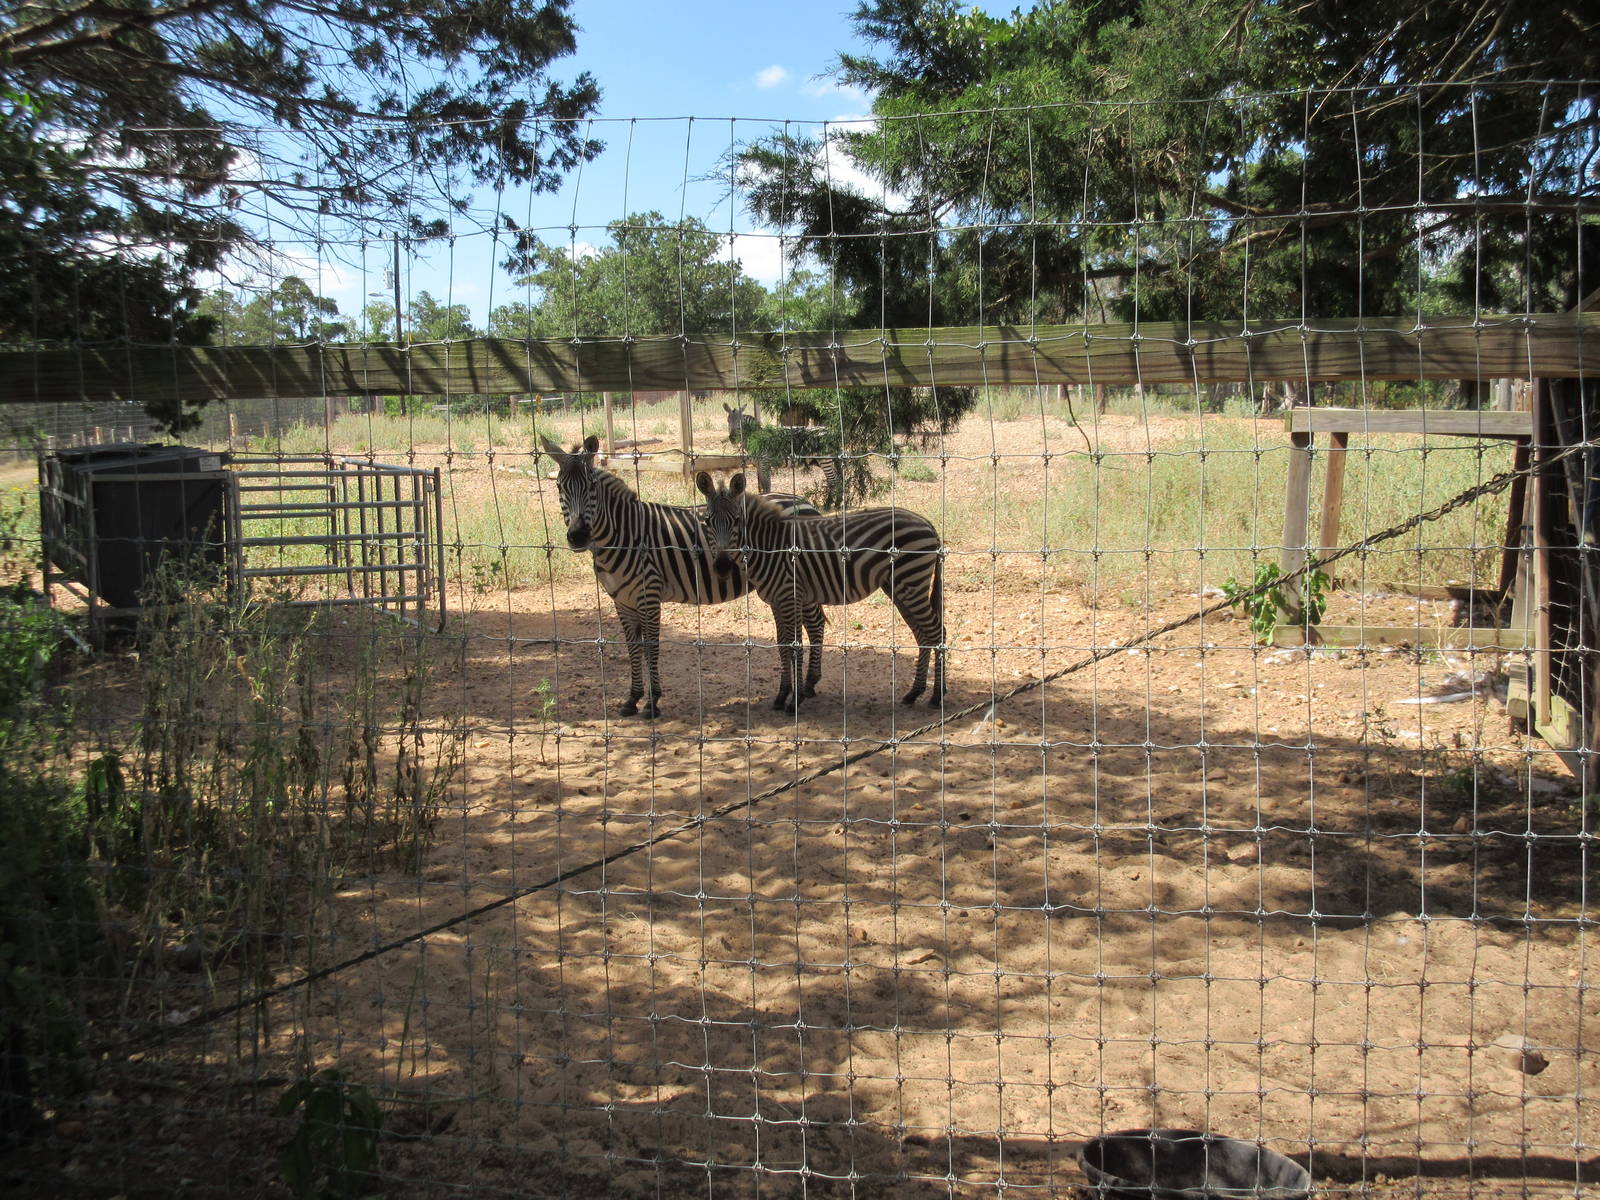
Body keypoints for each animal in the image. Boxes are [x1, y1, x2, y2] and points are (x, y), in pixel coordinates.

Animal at [541, 435, 820, 718]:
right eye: (559, 486)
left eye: (592, 487)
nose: (578, 537)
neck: (623, 535)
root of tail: (802, 500)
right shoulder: (622, 600)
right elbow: (632, 648)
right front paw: (632, 698)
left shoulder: (649, 595)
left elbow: (651, 647)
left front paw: (652, 702)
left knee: (816, 623)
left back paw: (808, 685)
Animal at [695, 470, 945, 713]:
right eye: (707, 522)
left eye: (737, 521)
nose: (722, 567)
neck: (768, 547)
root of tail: (927, 523)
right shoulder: (776, 601)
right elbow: (782, 644)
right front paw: (781, 696)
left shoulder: (790, 596)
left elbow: (795, 646)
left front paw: (795, 701)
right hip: (898, 587)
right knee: (923, 634)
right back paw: (915, 692)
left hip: (910, 582)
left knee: (936, 632)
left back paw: (937, 696)